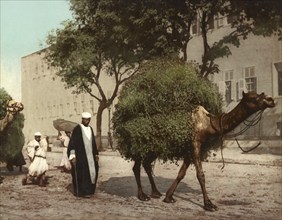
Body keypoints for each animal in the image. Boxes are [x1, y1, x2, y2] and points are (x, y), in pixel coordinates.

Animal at [131, 91, 274, 211]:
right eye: (253, 98)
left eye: (260, 94)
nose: (271, 100)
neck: (209, 125)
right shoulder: (195, 143)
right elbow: (200, 175)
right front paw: (209, 204)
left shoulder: (189, 149)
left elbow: (181, 173)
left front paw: (168, 197)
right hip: (141, 144)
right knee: (137, 166)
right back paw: (142, 195)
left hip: (154, 148)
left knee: (146, 163)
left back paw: (155, 192)